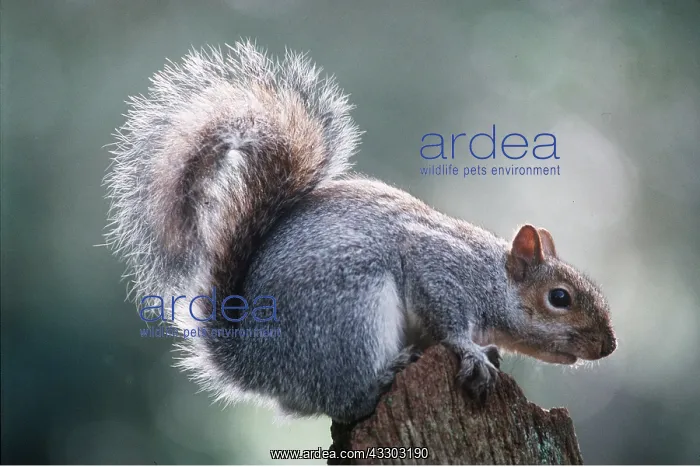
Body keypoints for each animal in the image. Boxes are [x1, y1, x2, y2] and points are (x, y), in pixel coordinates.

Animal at [105, 41, 617, 423]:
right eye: (559, 298)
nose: (609, 346)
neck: (491, 276)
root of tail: (254, 361)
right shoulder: (441, 268)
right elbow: (449, 321)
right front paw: (472, 352)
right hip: (350, 312)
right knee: (346, 399)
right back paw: (387, 372)